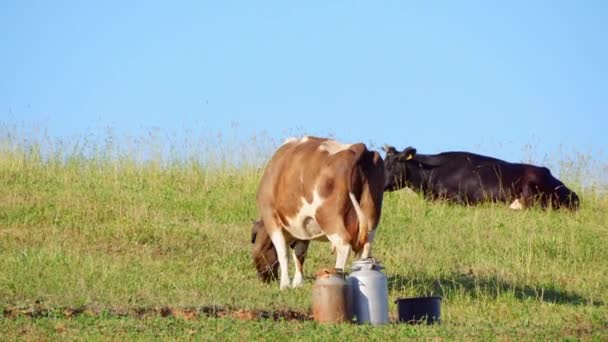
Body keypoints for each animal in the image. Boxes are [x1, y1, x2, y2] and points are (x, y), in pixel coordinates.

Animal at [256, 136, 384, 288]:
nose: (263, 278)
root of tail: (357, 147)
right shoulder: (302, 225)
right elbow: (299, 254)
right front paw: (297, 283)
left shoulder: (271, 216)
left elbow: (283, 253)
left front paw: (285, 285)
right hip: (371, 216)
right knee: (366, 246)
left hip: (329, 217)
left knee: (344, 246)